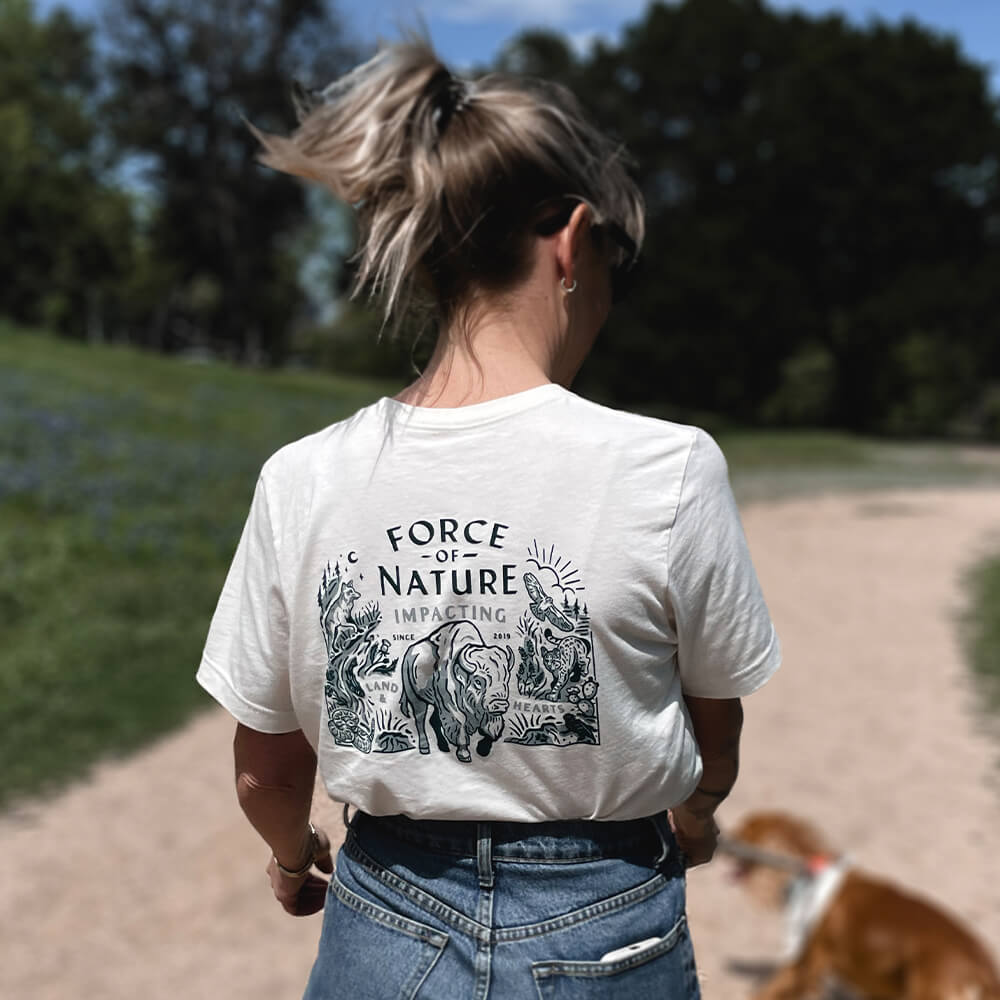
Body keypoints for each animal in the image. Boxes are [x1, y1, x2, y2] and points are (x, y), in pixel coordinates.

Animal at [720, 812, 1000, 1000]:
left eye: (747, 830)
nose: (723, 838)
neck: (810, 873)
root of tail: (983, 970)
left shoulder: (809, 962)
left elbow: (769, 989)